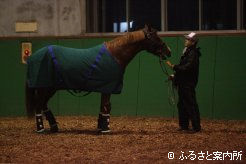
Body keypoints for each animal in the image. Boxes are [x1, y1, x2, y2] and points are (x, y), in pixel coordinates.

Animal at [25, 25, 171, 134]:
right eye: (155, 37)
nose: (168, 51)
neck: (115, 54)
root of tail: (33, 57)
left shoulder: (104, 88)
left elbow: (103, 107)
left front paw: (101, 127)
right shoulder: (108, 89)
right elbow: (107, 107)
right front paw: (106, 129)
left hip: (50, 88)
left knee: (43, 104)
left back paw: (54, 127)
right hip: (45, 87)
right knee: (39, 105)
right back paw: (41, 129)